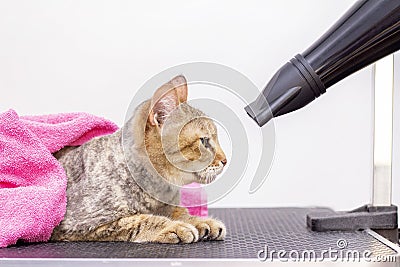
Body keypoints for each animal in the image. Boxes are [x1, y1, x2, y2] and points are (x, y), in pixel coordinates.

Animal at [50, 75, 228, 245]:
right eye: (204, 141)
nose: (225, 161)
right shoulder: (79, 224)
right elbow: (141, 220)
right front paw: (174, 226)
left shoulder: (169, 205)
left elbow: (181, 212)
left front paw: (200, 221)